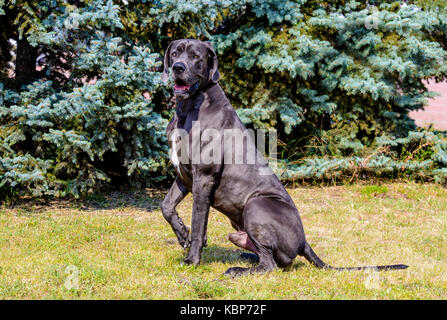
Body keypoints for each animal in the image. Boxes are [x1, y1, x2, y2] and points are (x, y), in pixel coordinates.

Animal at [161, 39, 410, 276]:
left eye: (196, 57)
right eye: (175, 53)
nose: (178, 67)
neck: (188, 107)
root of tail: (304, 242)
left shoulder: (204, 176)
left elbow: (198, 220)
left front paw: (192, 259)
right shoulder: (184, 175)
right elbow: (167, 206)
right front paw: (183, 233)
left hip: (256, 204)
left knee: (270, 265)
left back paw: (238, 270)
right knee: (273, 260)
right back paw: (247, 258)